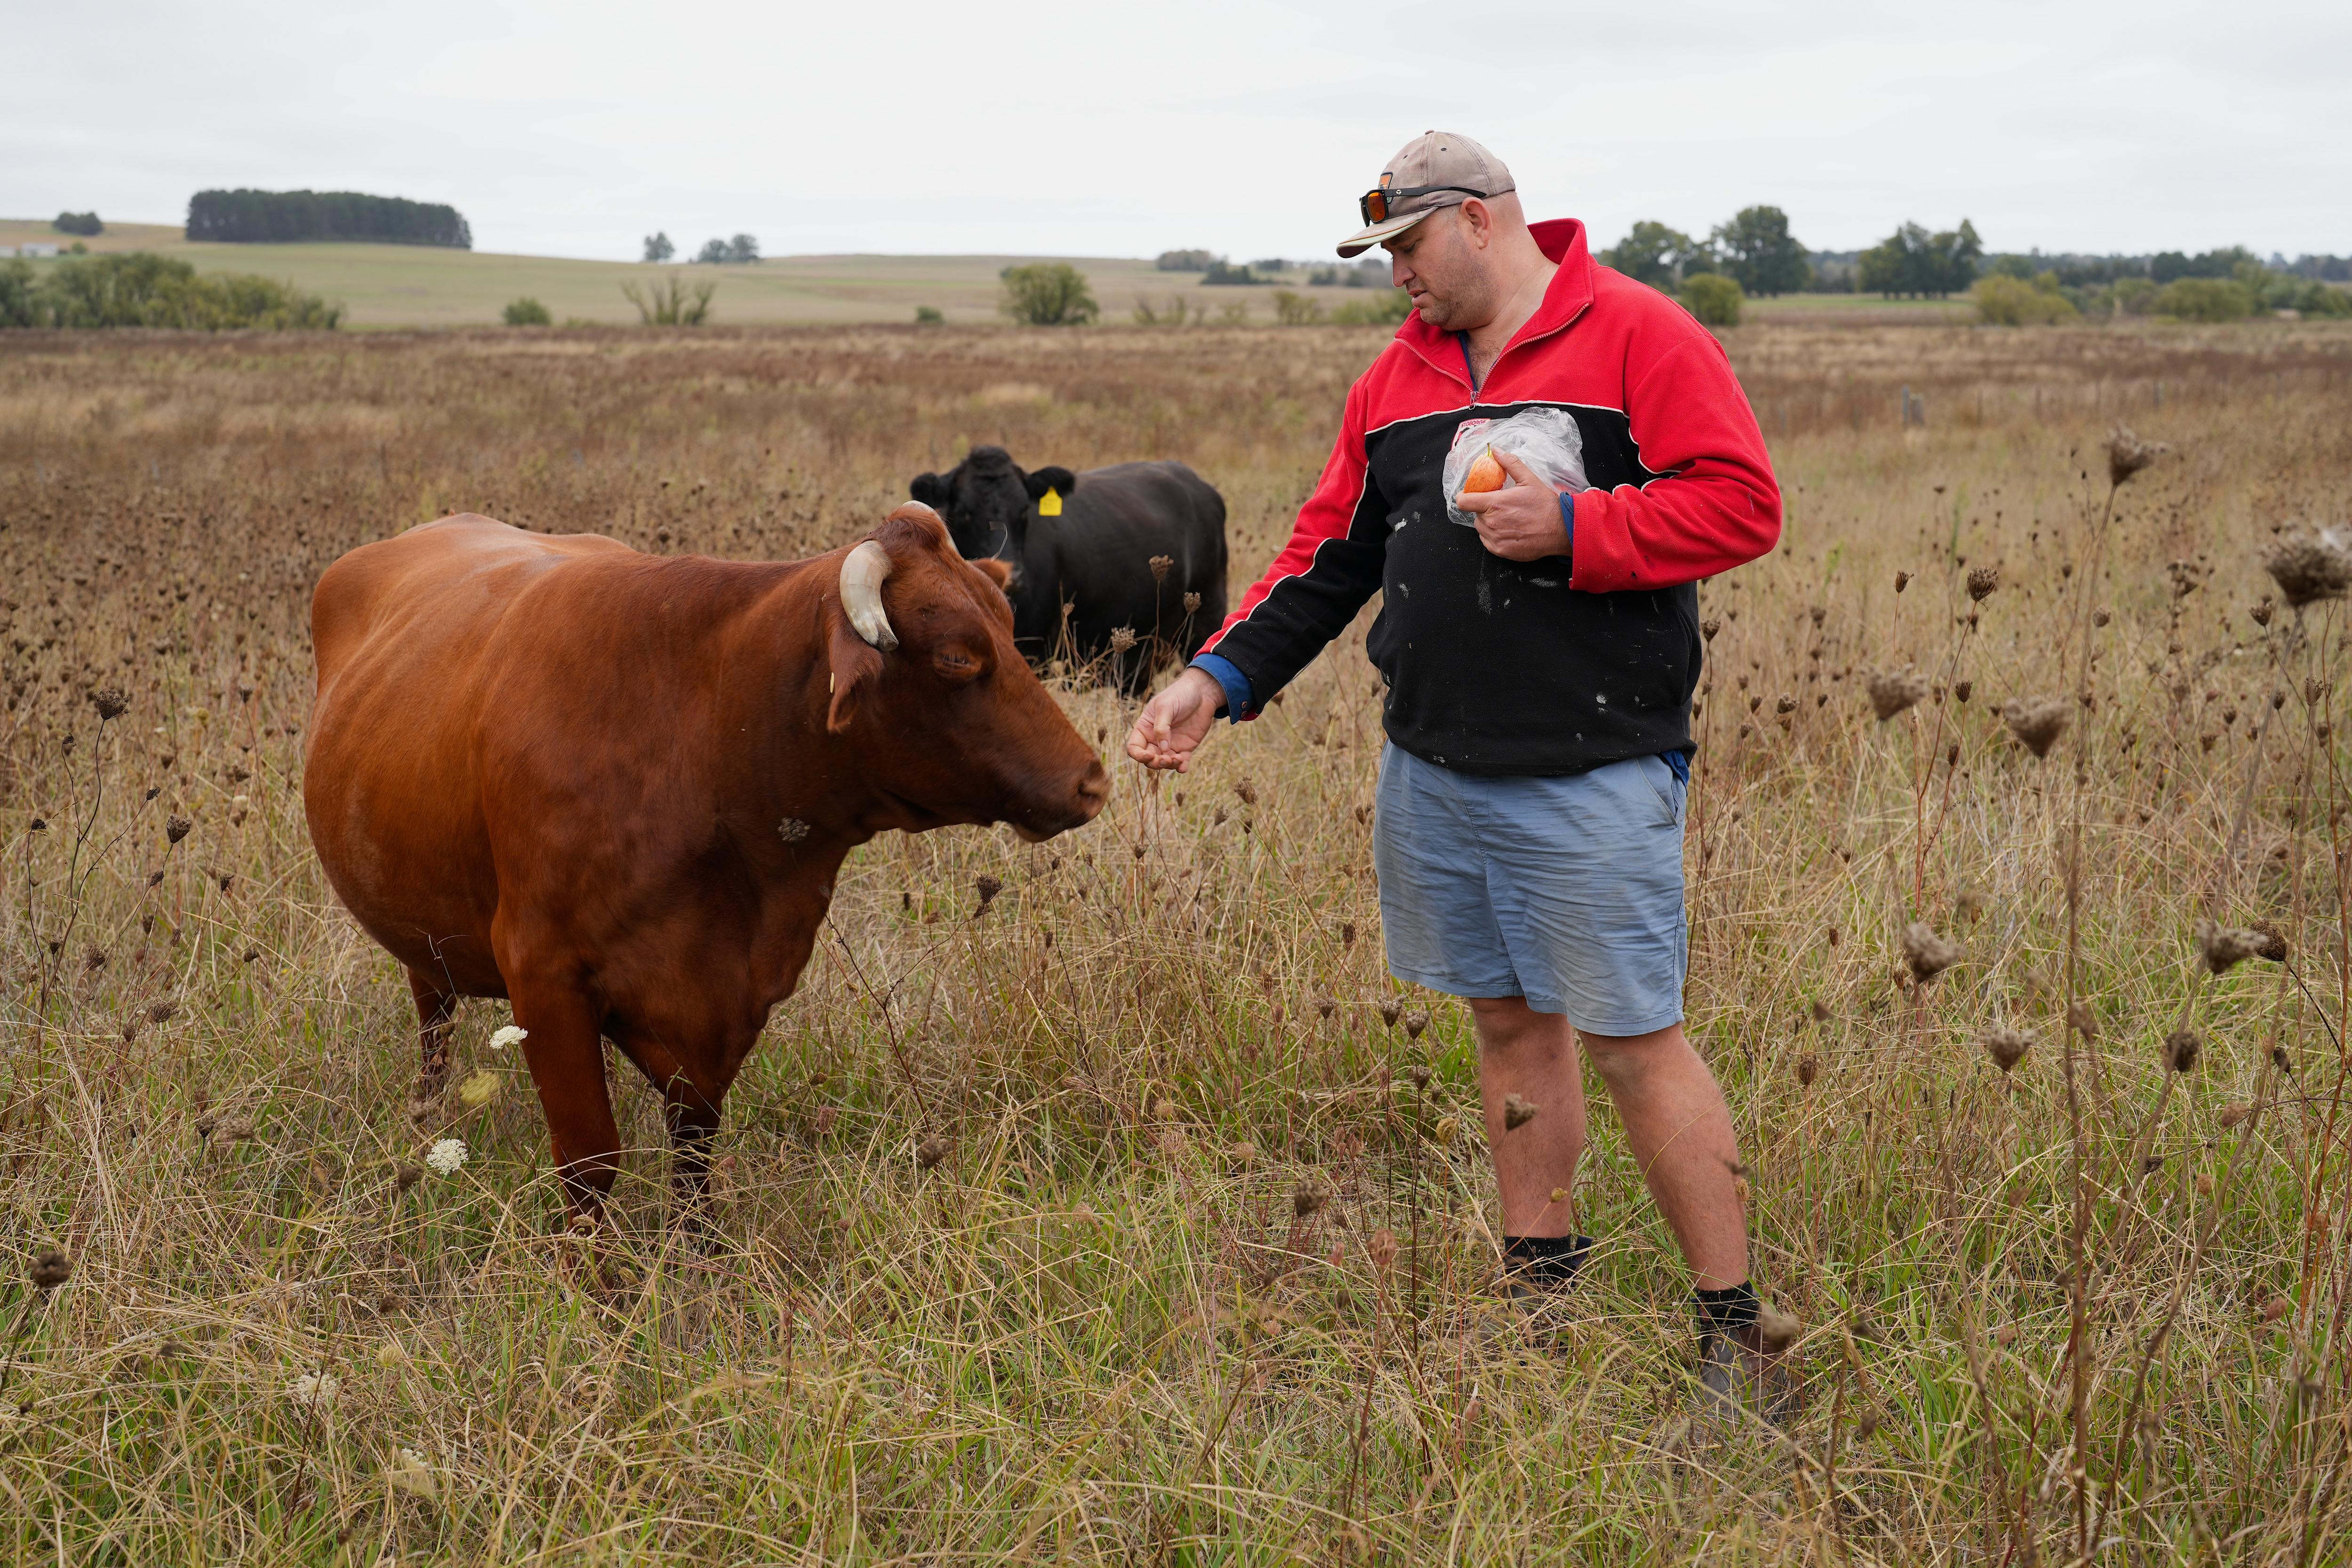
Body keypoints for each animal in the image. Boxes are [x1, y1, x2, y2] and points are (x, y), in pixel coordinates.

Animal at [303, 503, 1107, 1223]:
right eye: (957, 657)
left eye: (1009, 630)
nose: (1091, 780)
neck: (701, 736)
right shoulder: (544, 975)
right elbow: (592, 1163)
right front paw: (600, 1290)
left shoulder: (724, 997)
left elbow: (695, 1142)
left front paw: (701, 1253)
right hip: (426, 939)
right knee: (433, 1029)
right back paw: (424, 1120)